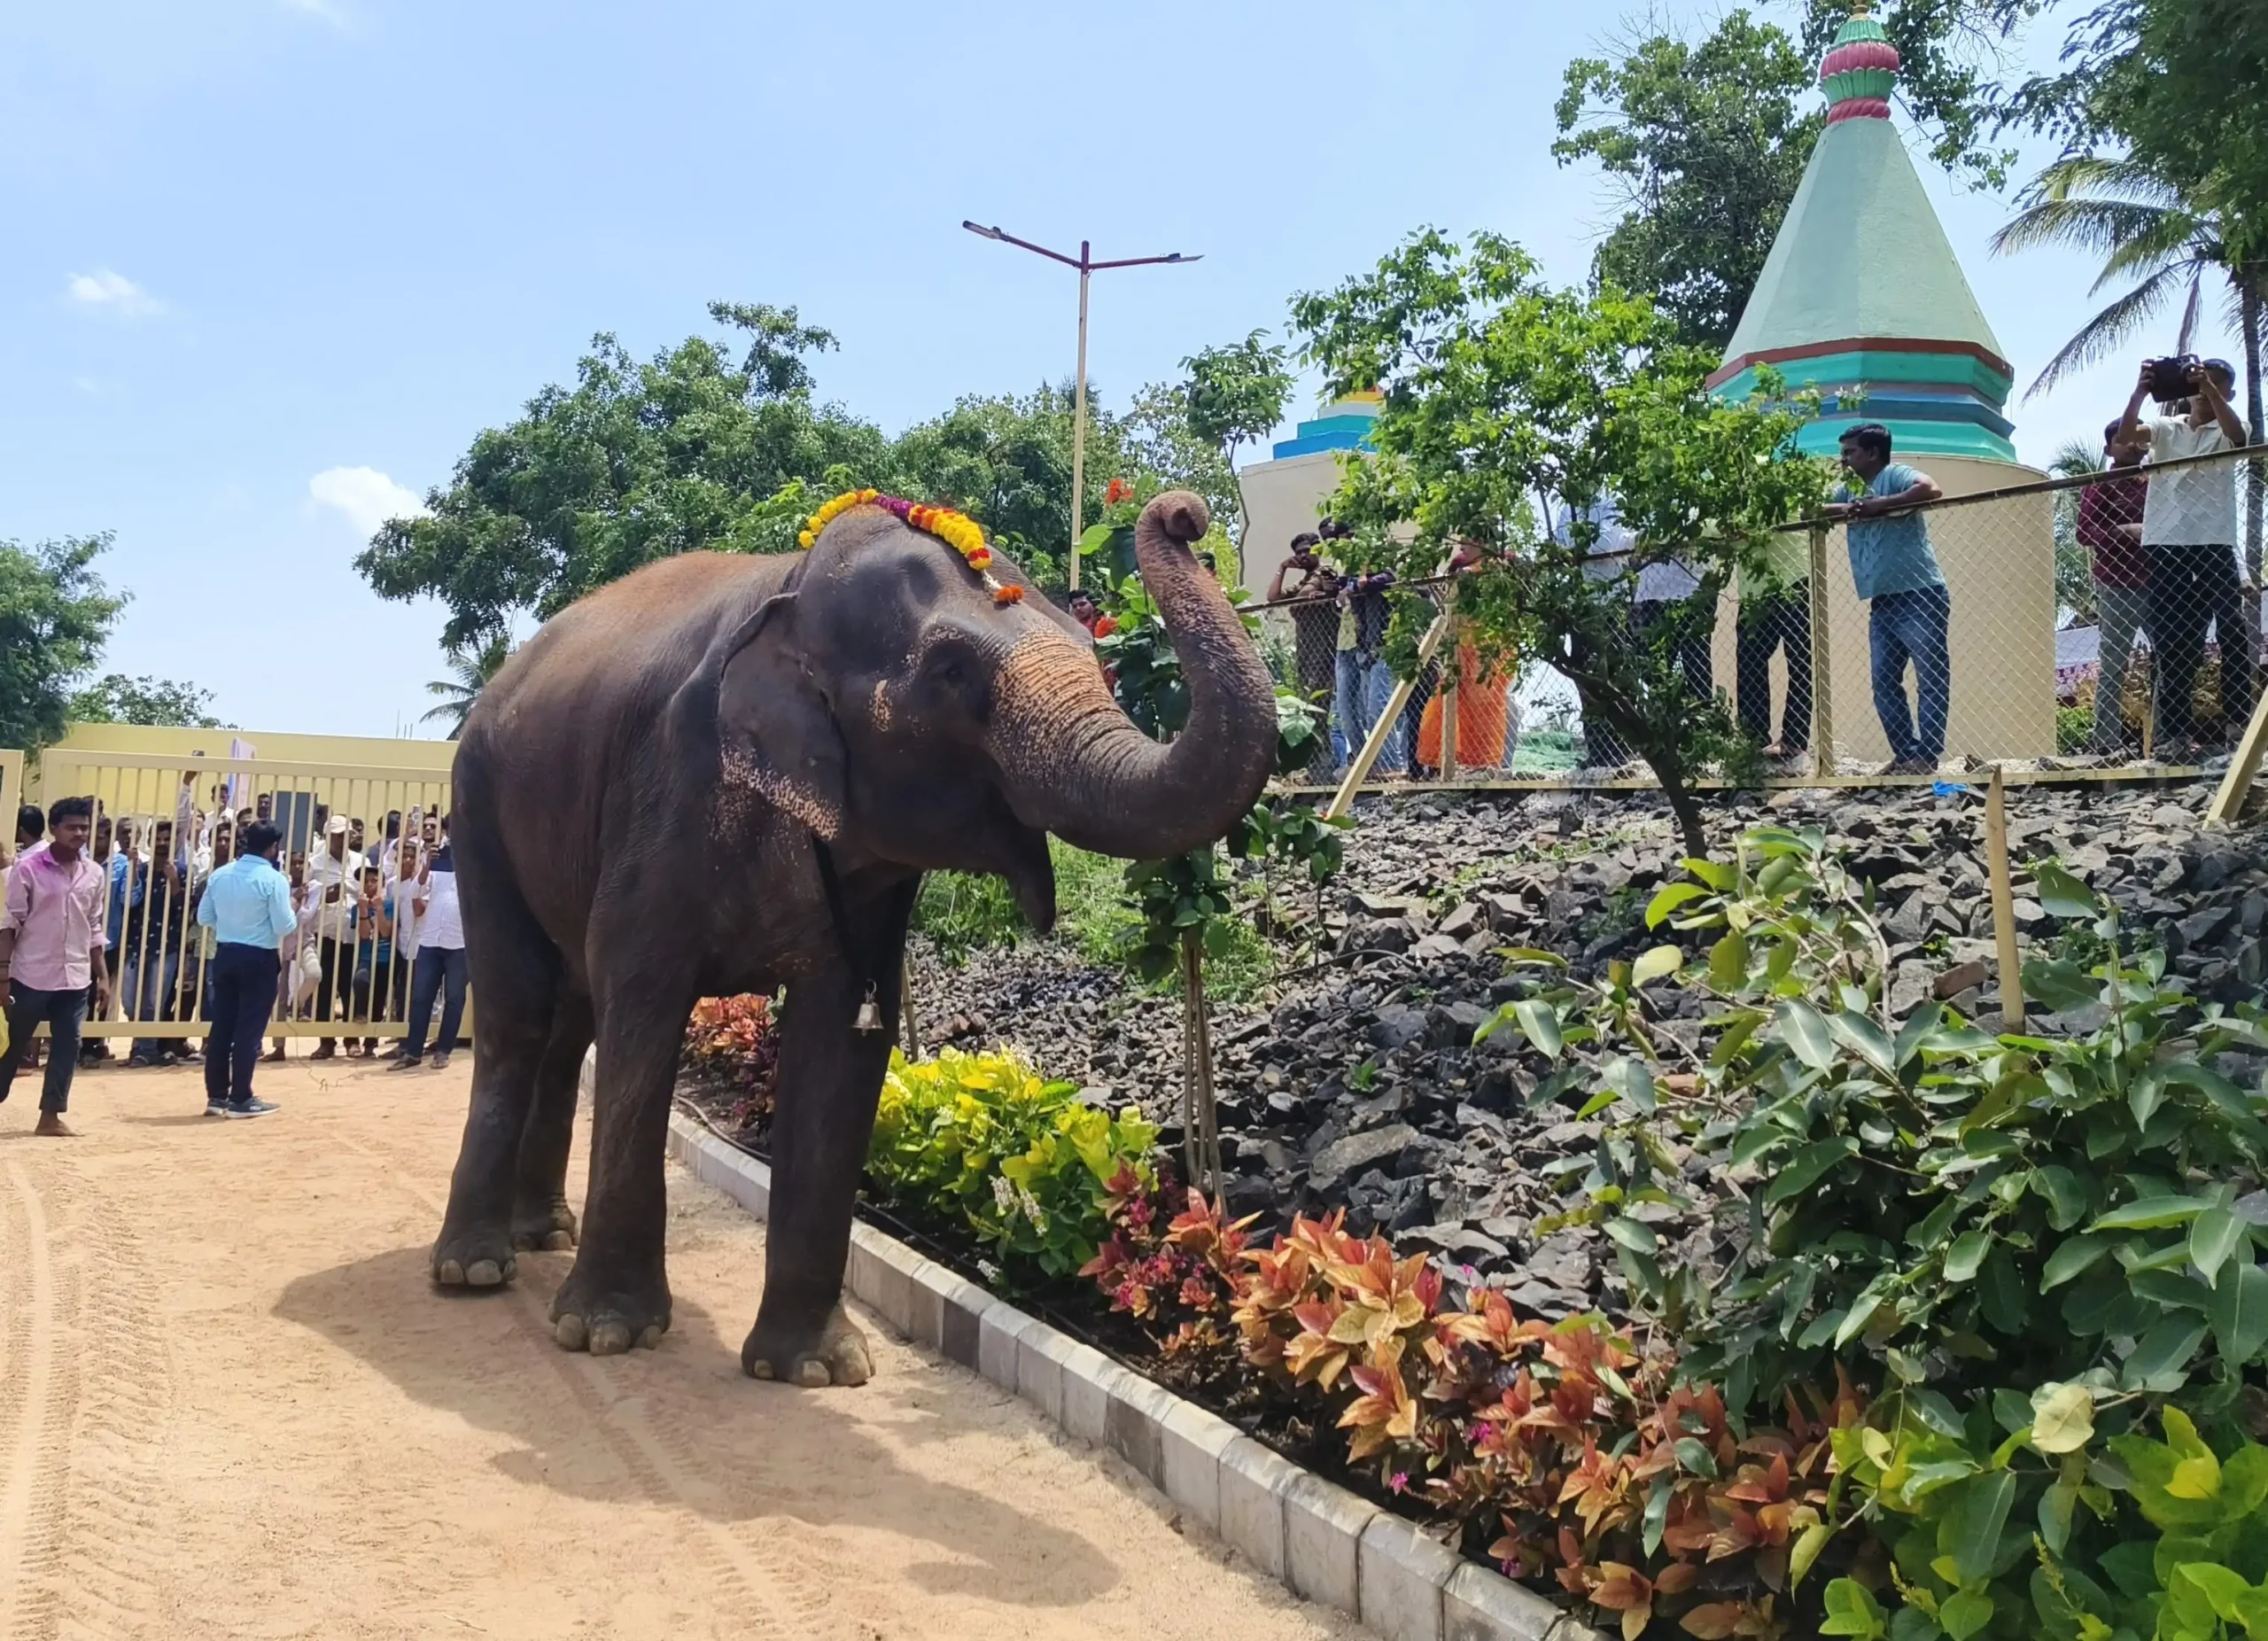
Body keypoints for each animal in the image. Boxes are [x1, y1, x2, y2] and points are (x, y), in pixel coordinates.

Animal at [428, 489, 1278, 1387]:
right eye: (951, 671)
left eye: (1092, 652)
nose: (1184, 515)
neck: (792, 584)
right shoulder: (667, 794)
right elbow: (643, 1012)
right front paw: (606, 1335)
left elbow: (841, 1045)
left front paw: (816, 1369)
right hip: (476, 806)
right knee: (521, 1016)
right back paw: (475, 1269)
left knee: (570, 1027)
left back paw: (544, 1234)